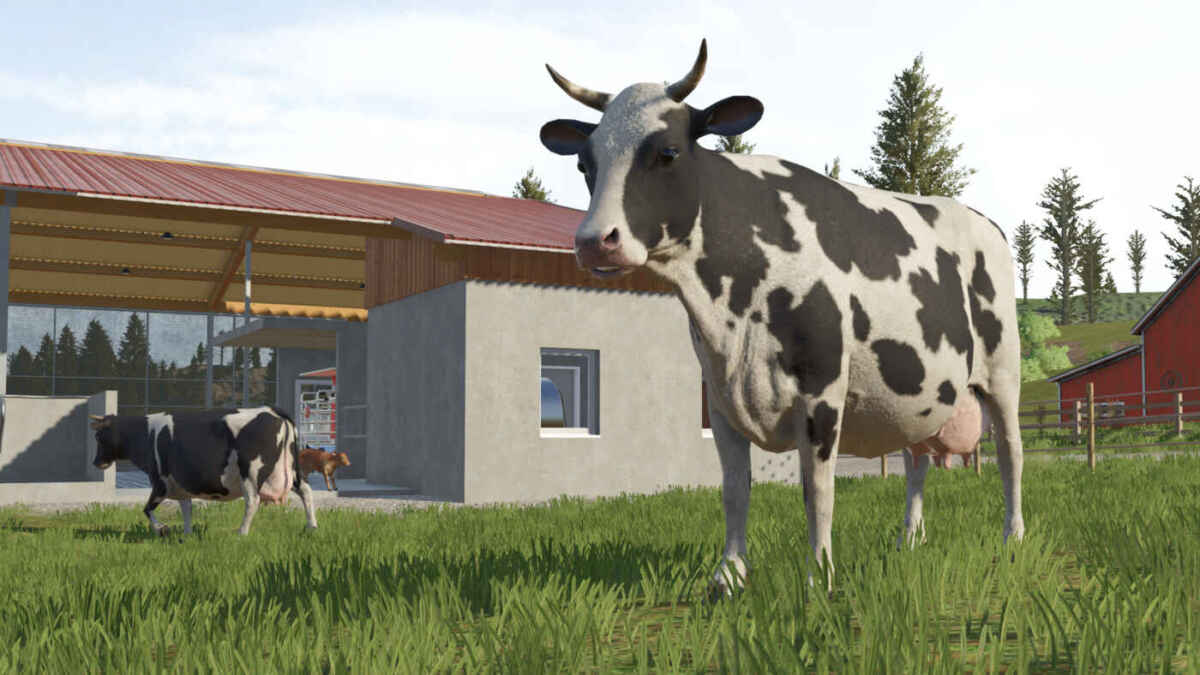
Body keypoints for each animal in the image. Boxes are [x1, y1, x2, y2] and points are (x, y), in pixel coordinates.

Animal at [89, 406, 318, 536]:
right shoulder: (181, 484)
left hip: (251, 473)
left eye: (99, 437)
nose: (96, 462)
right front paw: (187, 534)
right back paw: (311, 527)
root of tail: (272, 410)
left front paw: (161, 529)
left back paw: (242, 533)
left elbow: (146, 509)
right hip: (290, 470)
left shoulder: (160, 482)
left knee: (252, 501)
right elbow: (186, 509)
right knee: (306, 491)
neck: (146, 435)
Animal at [539, 39, 1025, 594]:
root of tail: (985, 222)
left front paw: (819, 576)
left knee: (1011, 454)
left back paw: (1013, 537)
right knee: (916, 460)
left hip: (1003, 372)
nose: (594, 241)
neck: (731, 316)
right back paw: (909, 540)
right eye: (585, 163)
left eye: (667, 152)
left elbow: (817, 490)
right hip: (919, 392)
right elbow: (734, 488)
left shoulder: (822, 388)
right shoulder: (719, 393)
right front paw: (728, 575)